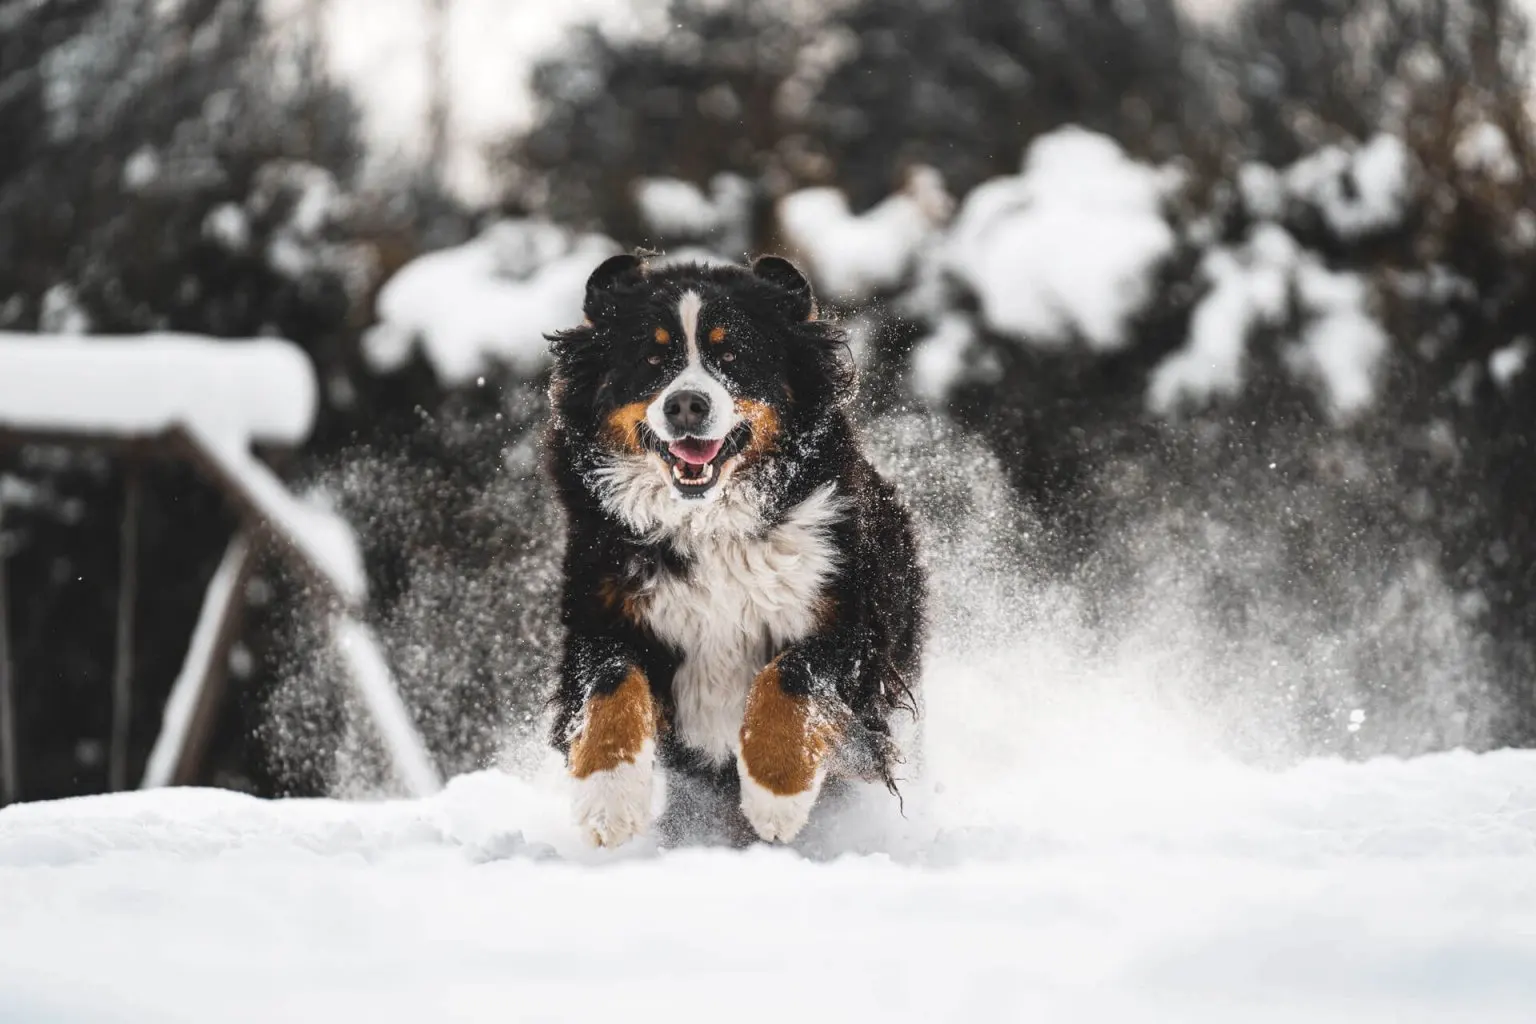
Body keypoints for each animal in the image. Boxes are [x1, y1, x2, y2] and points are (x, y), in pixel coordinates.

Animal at [543, 251, 921, 847]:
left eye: (732, 354)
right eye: (652, 357)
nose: (686, 405)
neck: (708, 524)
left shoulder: (852, 623)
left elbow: (789, 678)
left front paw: (775, 795)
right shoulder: (600, 612)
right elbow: (609, 687)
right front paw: (609, 799)